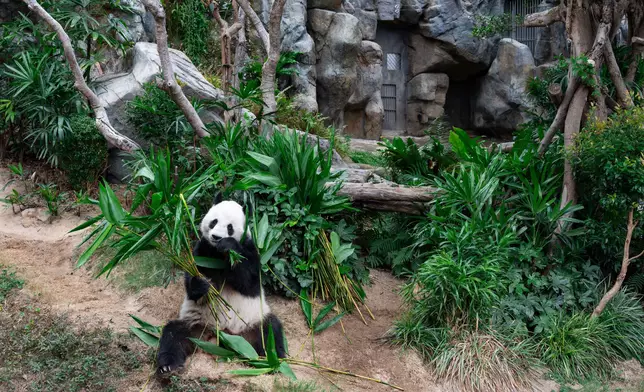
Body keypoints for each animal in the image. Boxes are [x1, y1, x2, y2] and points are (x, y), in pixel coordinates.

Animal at [156, 194, 284, 376]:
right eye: (213, 222)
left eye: (230, 227)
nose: (216, 237)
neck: (218, 253)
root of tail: (224, 338)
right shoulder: (203, 250)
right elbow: (191, 282)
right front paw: (201, 285)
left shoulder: (250, 249)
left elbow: (250, 282)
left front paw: (229, 246)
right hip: (195, 325)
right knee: (173, 335)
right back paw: (168, 365)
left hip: (254, 322)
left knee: (270, 332)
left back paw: (272, 363)